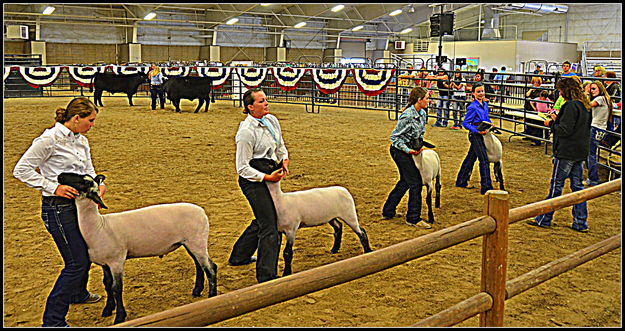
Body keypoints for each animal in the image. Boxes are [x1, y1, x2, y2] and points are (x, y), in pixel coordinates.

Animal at [56, 175, 217, 326]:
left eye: (84, 182)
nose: (60, 176)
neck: (99, 226)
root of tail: (201, 211)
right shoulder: (105, 264)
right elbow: (107, 285)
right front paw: (108, 310)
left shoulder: (116, 261)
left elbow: (116, 288)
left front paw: (119, 317)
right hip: (189, 243)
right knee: (199, 265)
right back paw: (197, 291)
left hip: (198, 240)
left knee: (210, 267)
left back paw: (212, 296)